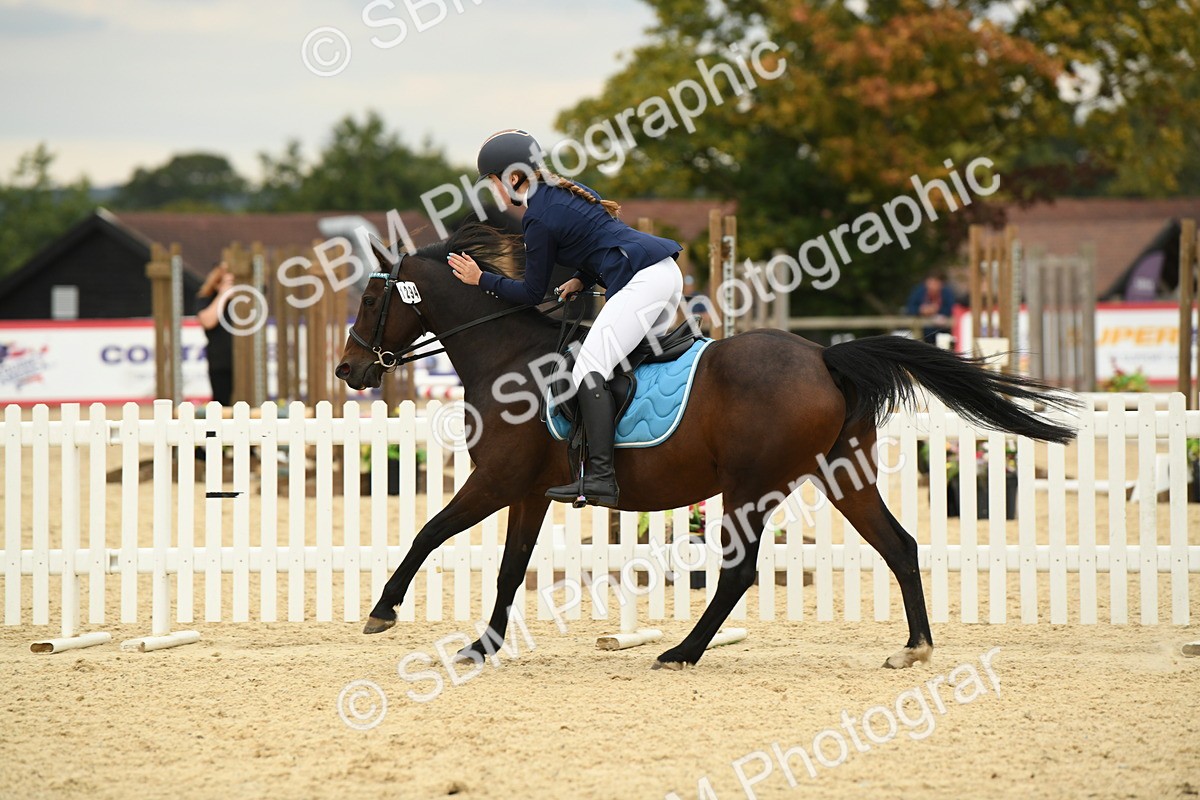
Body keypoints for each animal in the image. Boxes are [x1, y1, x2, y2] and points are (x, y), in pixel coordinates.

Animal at [335, 222, 1076, 670]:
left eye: (371, 301)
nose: (349, 371)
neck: (507, 356)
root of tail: (823, 357)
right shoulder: (525, 491)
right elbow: (510, 569)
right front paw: (482, 646)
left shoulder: (493, 481)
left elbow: (428, 533)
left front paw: (383, 611)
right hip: (843, 474)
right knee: (899, 545)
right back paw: (914, 648)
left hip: (750, 487)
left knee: (739, 572)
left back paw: (682, 652)